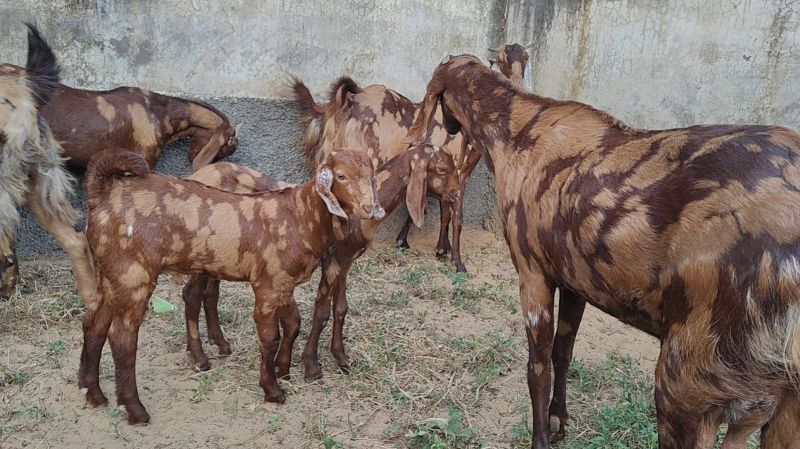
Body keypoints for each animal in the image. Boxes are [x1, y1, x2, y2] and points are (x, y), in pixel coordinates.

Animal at [78, 149, 382, 426]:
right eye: (341, 176)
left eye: (371, 174)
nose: (369, 208)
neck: (299, 215)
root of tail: (100, 194)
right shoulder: (268, 284)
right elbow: (269, 337)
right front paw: (273, 390)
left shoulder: (284, 283)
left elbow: (293, 323)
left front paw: (284, 369)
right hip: (134, 274)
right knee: (122, 338)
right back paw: (135, 410)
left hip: (109, 274)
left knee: (94, 323)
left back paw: (93, 394)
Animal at [179, 144, 460, 374]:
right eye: (442, 169)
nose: (457, 195)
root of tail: (196, 175)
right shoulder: (333, 261)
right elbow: (322, 312)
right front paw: (311, 364)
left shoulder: (346, 261)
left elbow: (341, 308)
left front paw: (341, 358)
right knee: (191, 294)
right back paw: (200, 357)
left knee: (210, 292)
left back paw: (220, 344)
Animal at [410, 53, 800, 448]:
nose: (450, 129)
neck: (516, 132)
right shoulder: (574, 279)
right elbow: (563, 350)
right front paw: (559, 420)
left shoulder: (531, 270)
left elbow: (537, 368)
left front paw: (541, 437)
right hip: (777, 405)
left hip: (690, 378)